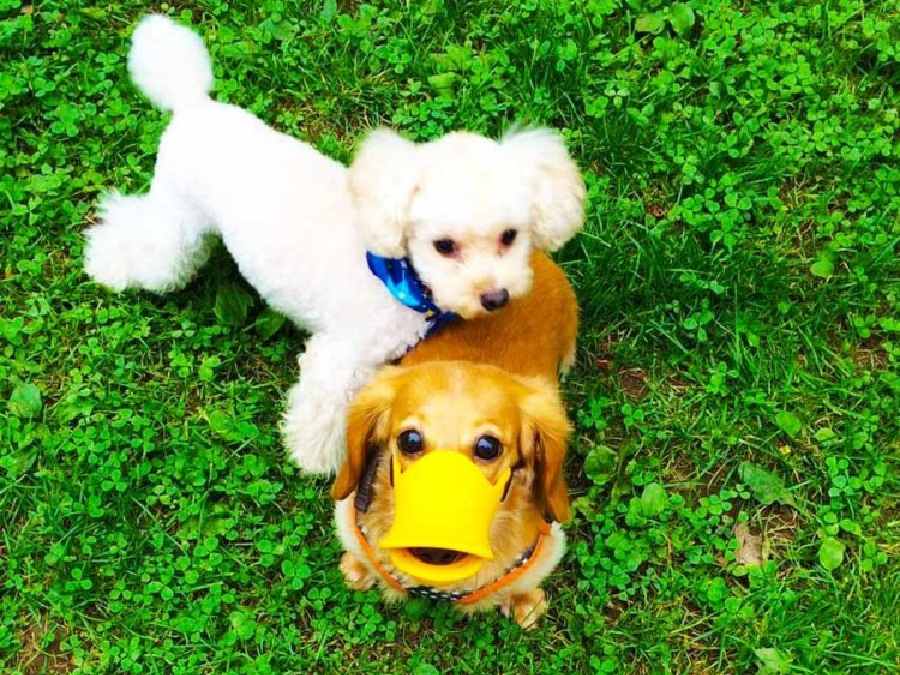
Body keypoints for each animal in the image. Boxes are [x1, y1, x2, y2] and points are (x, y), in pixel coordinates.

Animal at [84, 14, 588, 470]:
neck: (396, 276)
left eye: (510, 236)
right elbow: (325, 411)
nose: (496, 297)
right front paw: (319, 459)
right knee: (149, 244)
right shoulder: (341, 357)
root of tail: (192, 104)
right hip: (180, 221)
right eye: (444, 245)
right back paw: (106, 262)